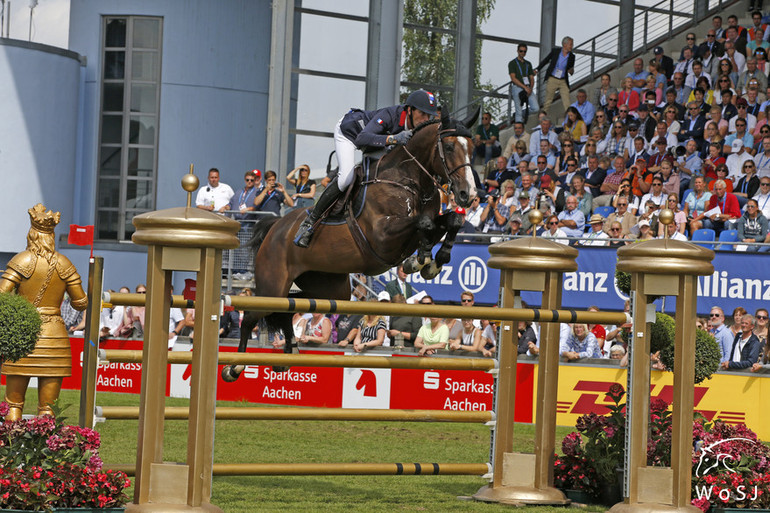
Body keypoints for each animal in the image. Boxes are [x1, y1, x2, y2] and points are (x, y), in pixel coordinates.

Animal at [219, 109, 476, 380]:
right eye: (449, 146)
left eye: (472, 148)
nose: (467, 194)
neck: (409, 181)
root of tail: (276, 227)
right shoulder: (383, 238)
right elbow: (425, 223)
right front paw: (421, 259)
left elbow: (451, 220)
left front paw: (432, 261)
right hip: (273, 284)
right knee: (254, 315)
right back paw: (235, 367)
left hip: (328, 287)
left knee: (290, 306)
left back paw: (290, 352)